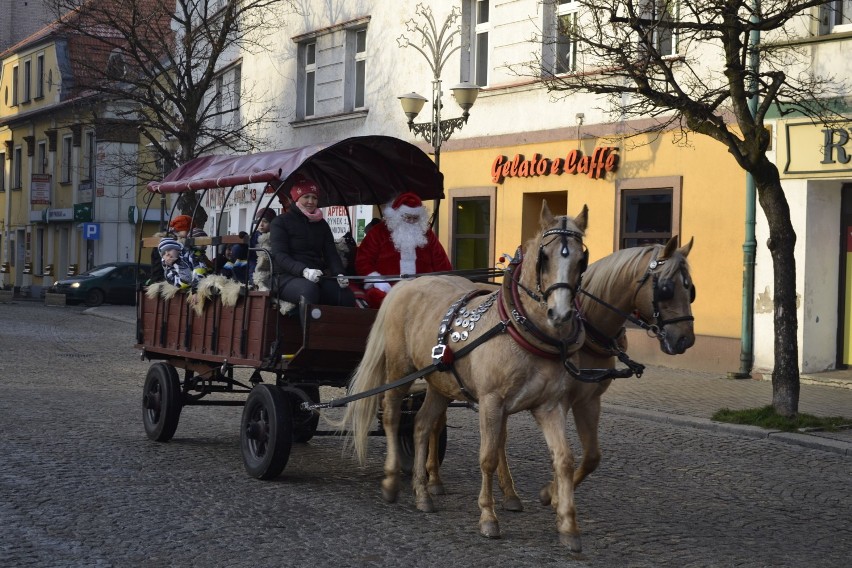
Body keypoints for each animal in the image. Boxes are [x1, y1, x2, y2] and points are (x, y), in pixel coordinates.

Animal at [336, 203, 588, 552]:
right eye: (545, 257)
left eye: (580, 259)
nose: (560, 314)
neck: (519, 328)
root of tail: (404, 285)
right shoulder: (491, 402)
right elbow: (488, 458)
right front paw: (488, 517)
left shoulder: (550, 406)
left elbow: (564, 459)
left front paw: (568, 526)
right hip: (401, 370)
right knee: (392, 416)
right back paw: (390, 480)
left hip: (439, 383)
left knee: (421, 425)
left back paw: (422, 493)